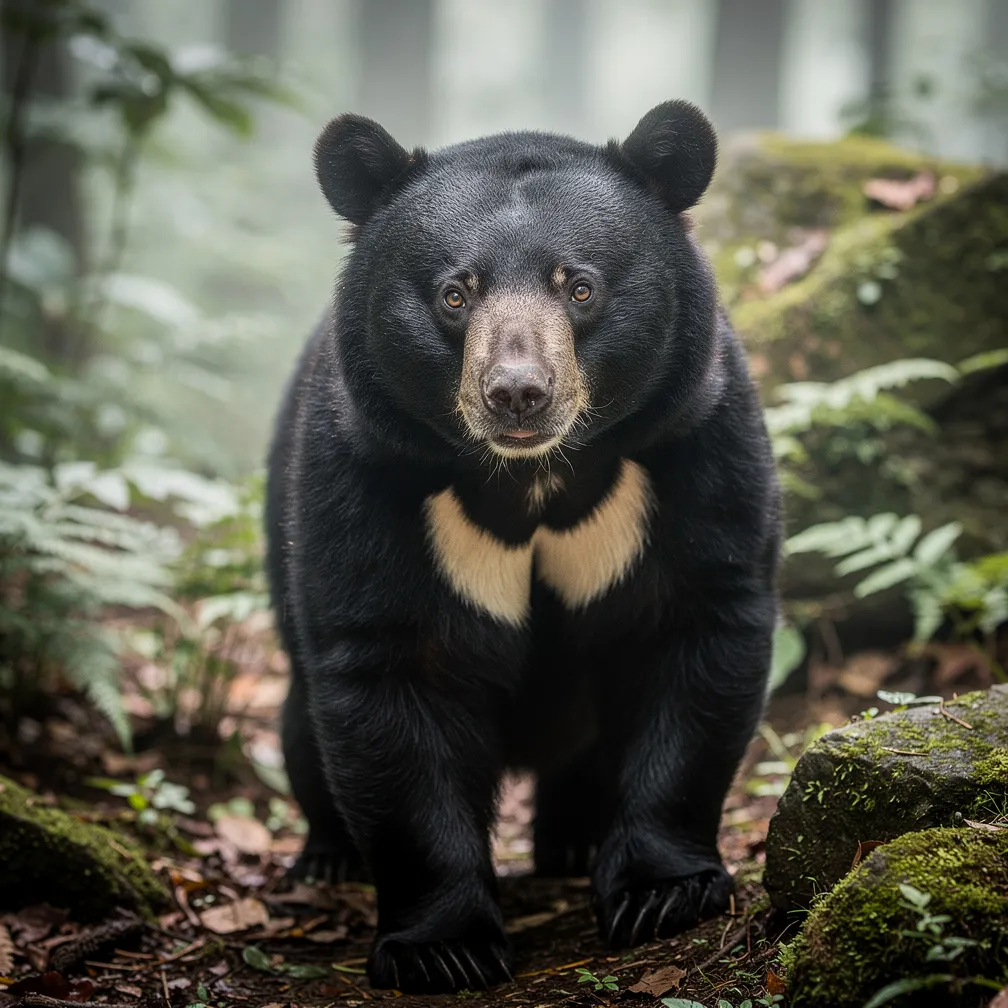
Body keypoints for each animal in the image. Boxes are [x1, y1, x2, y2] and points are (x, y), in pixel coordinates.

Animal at [265, 99, 781, 994]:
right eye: (453, 294)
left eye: (579, 286)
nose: (516, 395)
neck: (533, 479)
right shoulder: (367, 466)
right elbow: (390, 674)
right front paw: (442, 947)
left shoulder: (696, 441)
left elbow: (700, 623)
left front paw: (663, 894)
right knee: (303, 728)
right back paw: (329, 858)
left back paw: (572, 839)